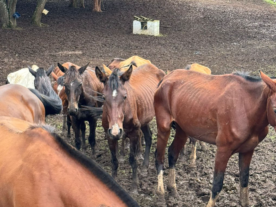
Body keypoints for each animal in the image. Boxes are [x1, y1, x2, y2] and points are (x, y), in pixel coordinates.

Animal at [95, 64, 164, 193]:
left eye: (125, 96)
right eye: (104, 97)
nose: (116, 131)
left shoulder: (134, 133)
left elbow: (133, 160)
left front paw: (134, 187)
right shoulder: (110, 135)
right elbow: (114, 160)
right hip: (144, 119)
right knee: (149, 137)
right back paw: (144, 168)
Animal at [154, 70, 276, 207]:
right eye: (275, 109)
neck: (246, 106)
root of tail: (165, 78)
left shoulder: (248, 150)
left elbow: (244, 180)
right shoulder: (223, 150)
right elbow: (217, 184)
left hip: (182, 129)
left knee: (172, 153)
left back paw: (173, 189)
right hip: (163, 127)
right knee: (159, 157)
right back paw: (161, 192)